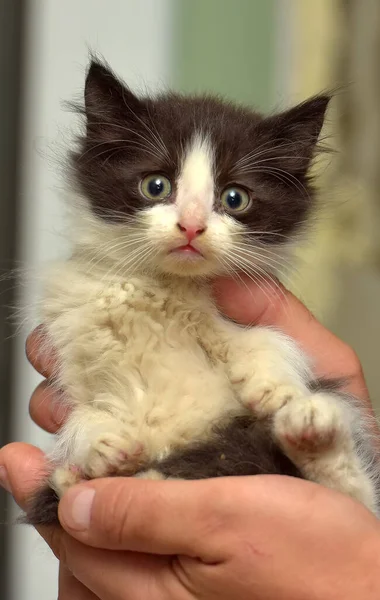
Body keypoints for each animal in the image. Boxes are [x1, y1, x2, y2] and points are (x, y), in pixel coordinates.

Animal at [26, 58, 380, 524]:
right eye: (155, 185)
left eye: (235, 198)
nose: (191, 226)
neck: (166, 288)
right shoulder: (72, 324)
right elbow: (82, 409)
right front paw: (97, 443)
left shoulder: (250, 300)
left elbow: (269, 338)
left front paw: (276, 386)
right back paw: (77, 480)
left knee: (355, 497)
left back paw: (312, 428)